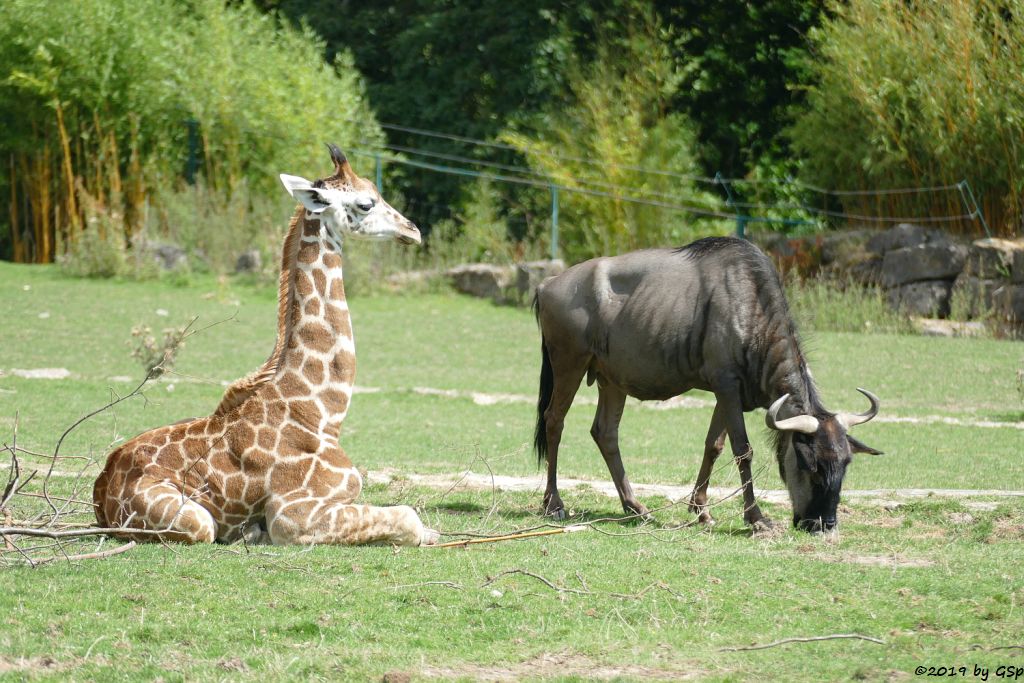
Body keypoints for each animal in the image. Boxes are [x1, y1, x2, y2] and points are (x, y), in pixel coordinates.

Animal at [96, 147, 444, 548]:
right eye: (366, 203)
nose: (413, 230)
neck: (323, 412)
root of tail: (101, 490)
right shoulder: (292, 513)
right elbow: (409, 517)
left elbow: (425, 525)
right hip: (195, 521)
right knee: (203, 526)